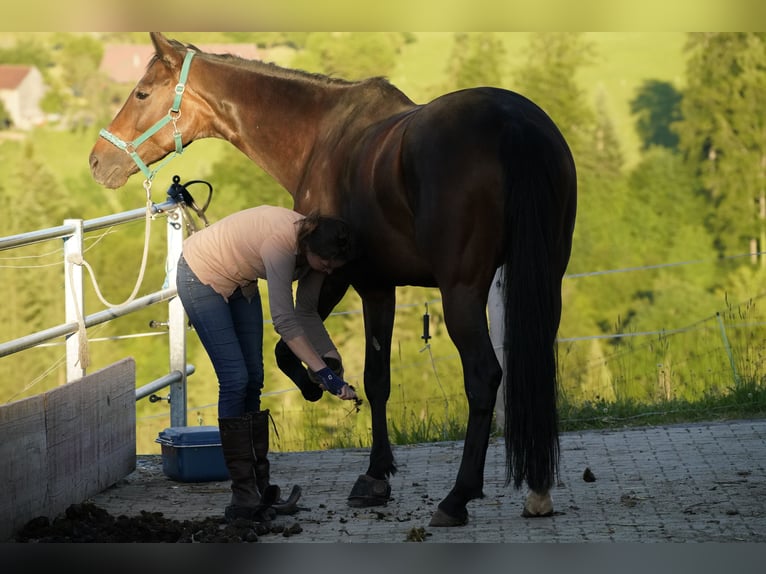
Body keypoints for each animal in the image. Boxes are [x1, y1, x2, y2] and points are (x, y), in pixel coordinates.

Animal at [88, 30, 576, 528]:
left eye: (142, 92)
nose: (97, 161)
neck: (321, 134)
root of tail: (513, 123)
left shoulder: (340, 278)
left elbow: (303, 354)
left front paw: (321, 393)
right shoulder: (380, 287)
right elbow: (377, 378)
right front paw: (374, 470)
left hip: (462, 292)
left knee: (483, 377)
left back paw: (457, 497)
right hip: (547, 278)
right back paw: (538, 490)